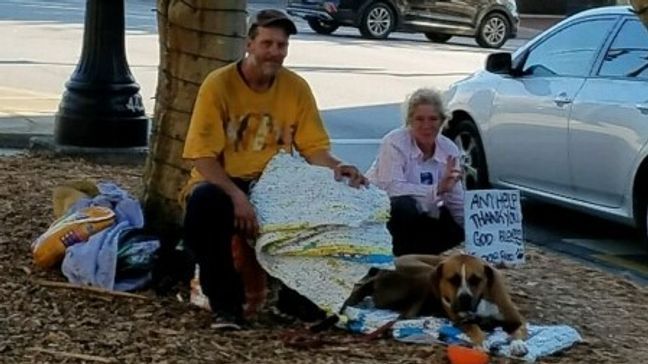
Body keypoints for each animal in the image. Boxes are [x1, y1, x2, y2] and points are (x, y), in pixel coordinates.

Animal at [342, 253, 528, 356]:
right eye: (452, 280)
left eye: (476, 280)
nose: (464, 298)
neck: (481, 301)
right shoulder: (463, 321)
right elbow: (474, 329)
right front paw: (481, 343)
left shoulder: (516, 320)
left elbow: (517, 331)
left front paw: (517, 344)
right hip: (425, 273)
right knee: (371, 281)